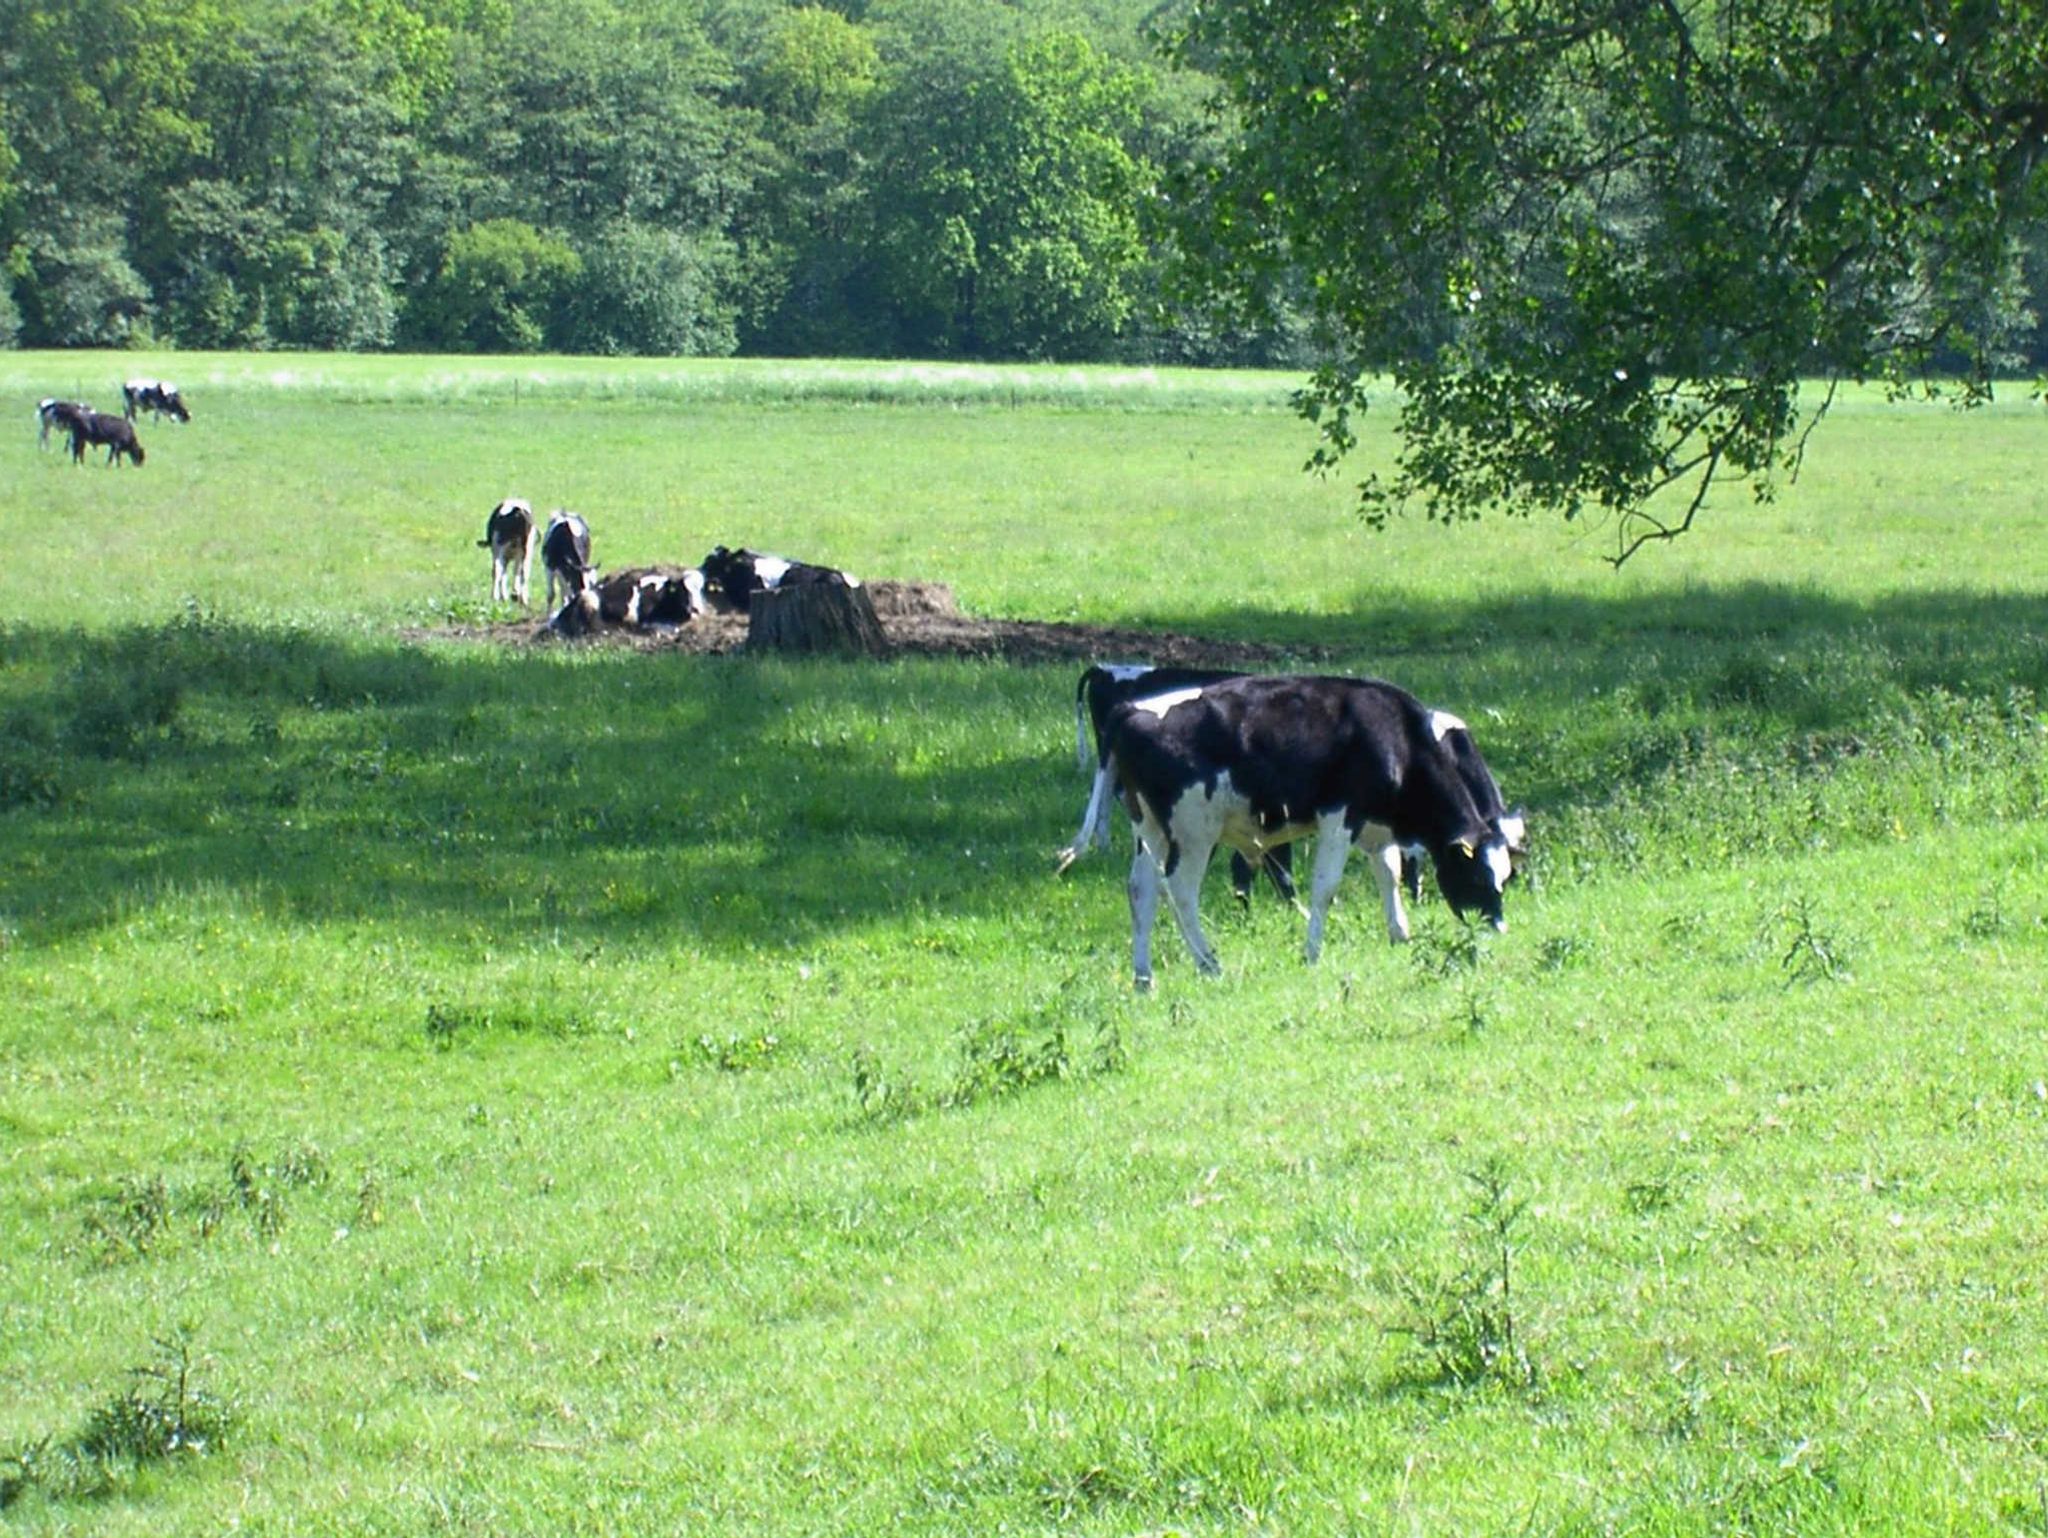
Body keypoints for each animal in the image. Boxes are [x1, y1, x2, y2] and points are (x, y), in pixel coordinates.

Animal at [1105, 671, 1523, 987]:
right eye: (1476, 877)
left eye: (1505, 877)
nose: (1499, 928)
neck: (1393, 736)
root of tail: (1129, 712)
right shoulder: (1340, 816)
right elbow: (1326, 888)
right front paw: (1312, 953)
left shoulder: (1375, 827)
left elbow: (1389, 875)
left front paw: (1400, 935)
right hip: (1193, 832)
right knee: (1180, 891)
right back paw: (1209, 964)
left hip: (1149, 830)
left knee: (1141, 891)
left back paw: (1144, 979)